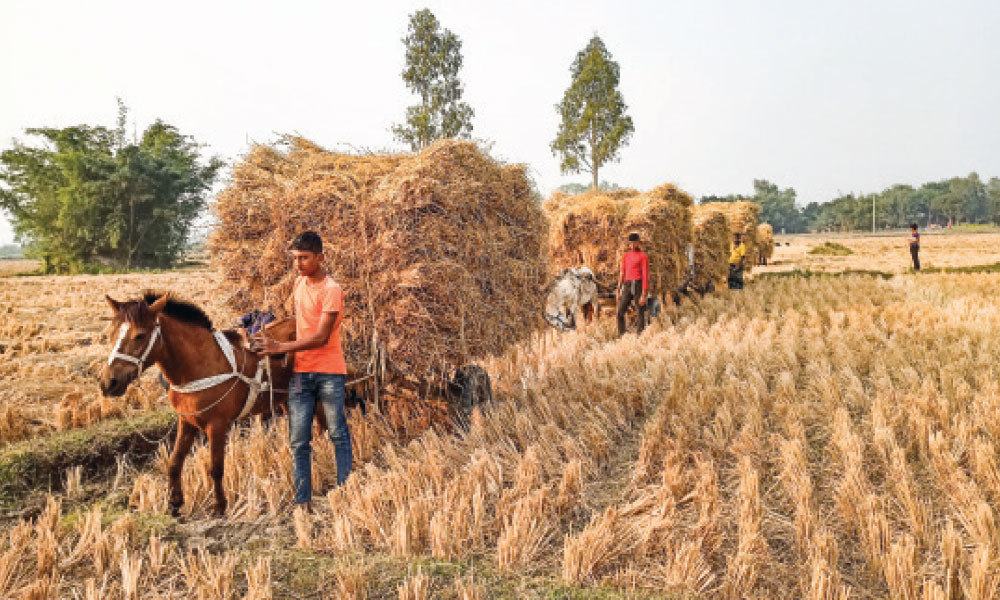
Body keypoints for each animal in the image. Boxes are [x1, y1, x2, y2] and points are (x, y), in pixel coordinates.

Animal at [100, 290, 292, 516]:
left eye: (140, 335)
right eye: (110, 334)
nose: (108, 382)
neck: (199, 366)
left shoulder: (217, 425)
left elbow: (215, 467)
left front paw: (220, 506)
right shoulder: (187, 421)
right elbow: (174, 461)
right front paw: (174, 502)